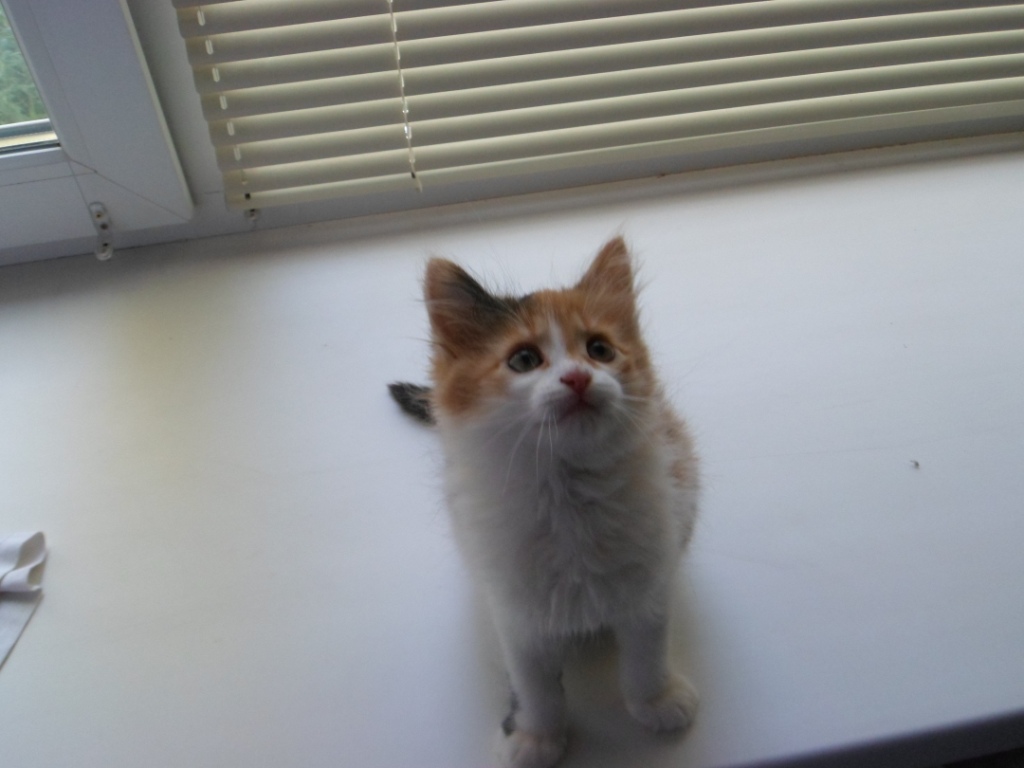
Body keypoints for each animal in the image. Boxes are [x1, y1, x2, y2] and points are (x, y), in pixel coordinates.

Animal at [389, 236, 700, 768]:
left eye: (599, 350)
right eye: (523, 360)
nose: (577, 378)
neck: (568, 497)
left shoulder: (649, 584)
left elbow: (645, 657)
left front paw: (656, 702)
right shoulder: (517, 614)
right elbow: (536, 686)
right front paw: (537, 737)